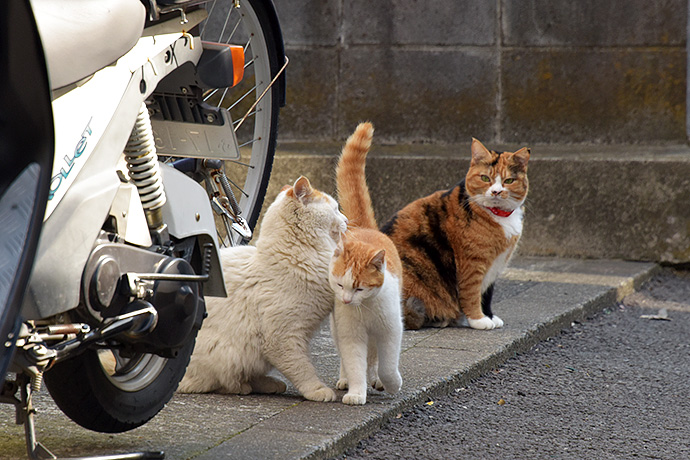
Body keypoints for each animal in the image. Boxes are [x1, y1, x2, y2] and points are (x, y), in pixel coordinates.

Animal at [177, 176, 346, 402]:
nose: (346, 219)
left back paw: (269, 384)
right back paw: (241, 387)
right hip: (225, 351)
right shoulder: (282, 338)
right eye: (335, 208)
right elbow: (302, 368)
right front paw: (317, 390)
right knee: (206, 382)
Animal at [328, 120, 404, 404]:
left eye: (360, 288)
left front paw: (391, 383)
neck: (366, 309)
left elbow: (388, 364)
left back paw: (378, 380)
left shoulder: (391, 330)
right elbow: (354, 361)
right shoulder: (350, 334)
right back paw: (345, 379)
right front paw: (356, 391)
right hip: (336, 327)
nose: (347, 300)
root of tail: (363, 227)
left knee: (375, 358)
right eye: (340, 285)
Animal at [378, 139, 528, 330]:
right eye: (485, 178)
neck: (498, 215)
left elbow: (487, 294)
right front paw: (478, 320)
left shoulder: (496, 264)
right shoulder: (472, 262)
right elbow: (472, 293)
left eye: (508, 180)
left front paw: (490, 315)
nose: (496, 192)